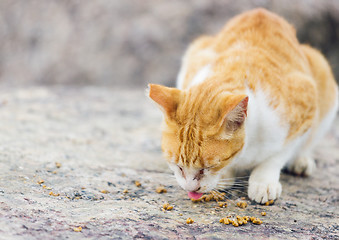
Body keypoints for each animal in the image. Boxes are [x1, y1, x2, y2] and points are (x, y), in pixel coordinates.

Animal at [147, 8, 338, 202]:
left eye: (208, 168)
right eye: (178, 166)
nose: (191, 189)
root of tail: (262, 11)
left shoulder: (304, 110)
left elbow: (277, 156)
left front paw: (263, 181)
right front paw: (225, 176)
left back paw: (301, 161)